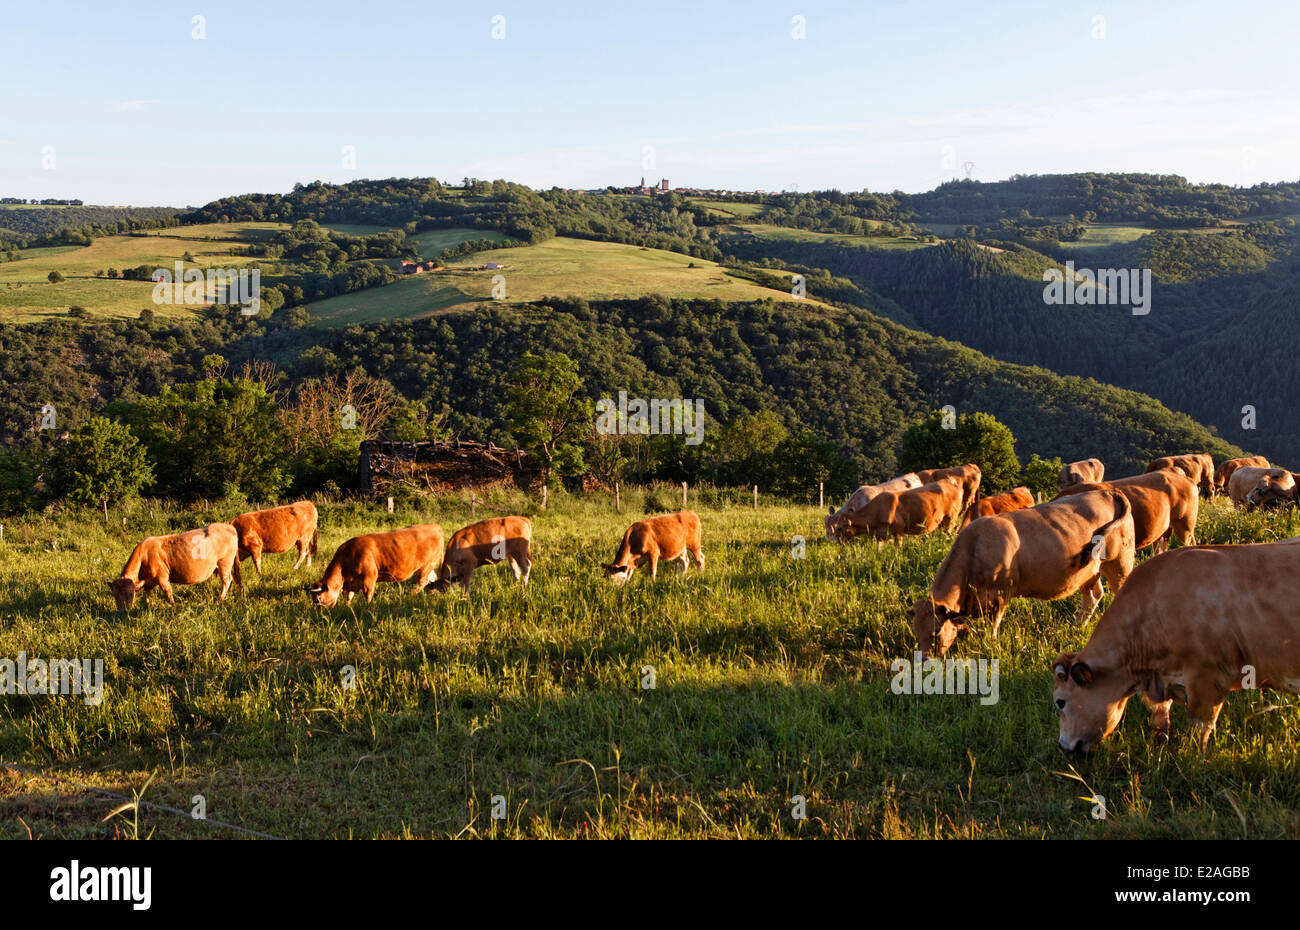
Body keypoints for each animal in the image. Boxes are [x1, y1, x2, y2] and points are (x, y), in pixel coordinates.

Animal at [108, 523, 241, 611]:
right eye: (115, 595)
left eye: (129, 594)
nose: (122, 612)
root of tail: (228, 526)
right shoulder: (148, 582)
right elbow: (147, 594)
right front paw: (148, 605)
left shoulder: (162, 577)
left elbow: (168, 592)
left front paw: (173, 606)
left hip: (224, 563)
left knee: (227, 580)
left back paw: (221, 598)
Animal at [306, 523, 445, 607]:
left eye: (318, 599)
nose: (320, 614)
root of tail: (433, 525)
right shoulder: (351, 583)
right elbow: (349, 596)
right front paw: (348, 607)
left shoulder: (369, 578)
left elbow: (368, 595)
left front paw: (367, 607)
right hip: (428, 567)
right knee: (432, 580)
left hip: (426, 565)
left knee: (422, 582)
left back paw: (409, 596)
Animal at [911, 490, 1135, 658]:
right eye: (916, 631)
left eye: (936, 633)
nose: (925, 660)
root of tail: (1107, 492)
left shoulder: (1001, 593)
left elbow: (994, 624)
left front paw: (992, 645)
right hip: (1090, 572)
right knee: (1093, 597)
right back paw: (1077, 627)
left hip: (1120, 563)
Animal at [1052, 538, 1300, 753]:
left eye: (1060, 702)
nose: (1062, 746)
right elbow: (1160, 720)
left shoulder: (1207, 678)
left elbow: (1200, 729)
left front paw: (1194, 759)